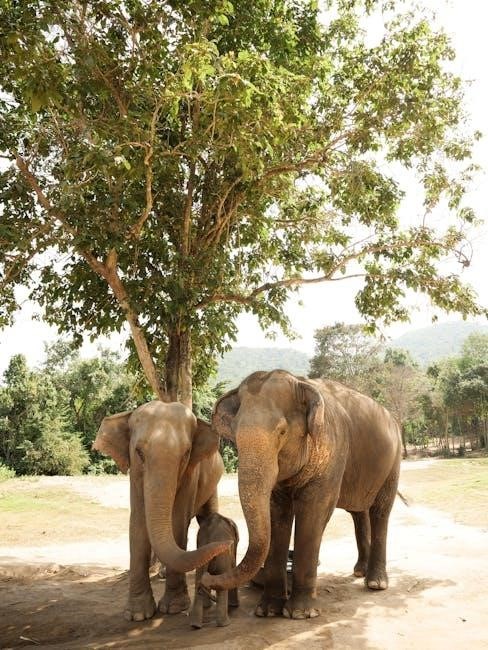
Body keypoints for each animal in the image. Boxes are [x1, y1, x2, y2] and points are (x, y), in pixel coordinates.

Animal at [93, 400, 231, 621]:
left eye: (186, 454)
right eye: (139, 452)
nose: (227, 545)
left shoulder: (190, 475)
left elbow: (177, 522)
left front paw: (173, 608)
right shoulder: (135, 476)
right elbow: (138, 524)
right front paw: (137, 615)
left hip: (213, 483)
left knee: (206, 514)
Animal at [202, 370, 402, 620]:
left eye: (282, 432)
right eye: (235, 435)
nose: (205, 579)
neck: (300, 382)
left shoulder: (332, 450)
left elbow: (314, 511)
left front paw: (299, 613)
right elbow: (276, 513)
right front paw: (268, 610)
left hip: (394, 461)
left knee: (380, 511)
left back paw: (375, 583)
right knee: (359, 512)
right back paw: (359, 572)